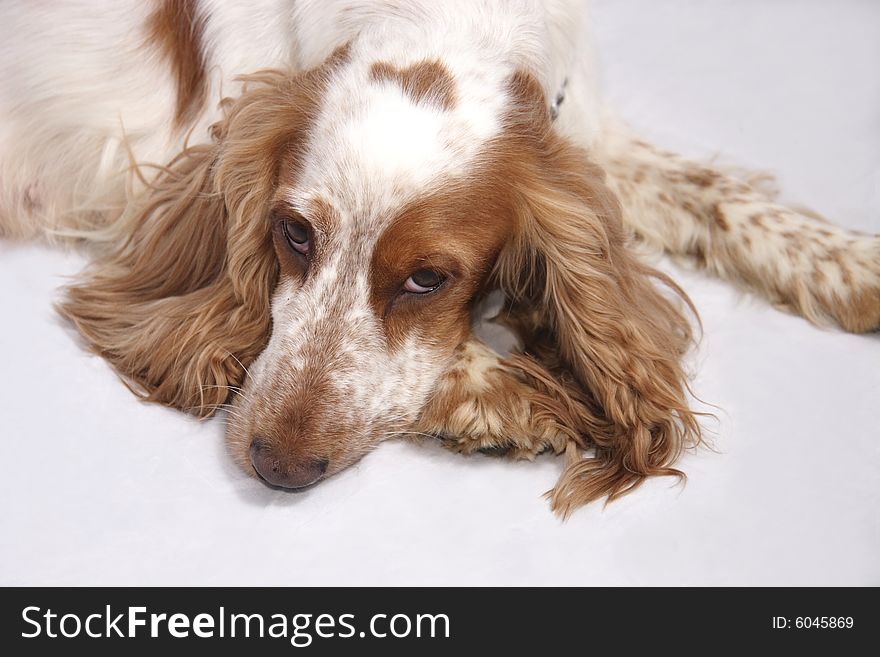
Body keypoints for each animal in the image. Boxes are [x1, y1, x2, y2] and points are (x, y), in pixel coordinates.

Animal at [3, 0, 876, 516]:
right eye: (293, 233)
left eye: (428, 277)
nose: (277, 465)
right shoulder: (148, 177)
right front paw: (507, 395)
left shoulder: (583, 136)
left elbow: (709, 192)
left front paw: (848, 261)